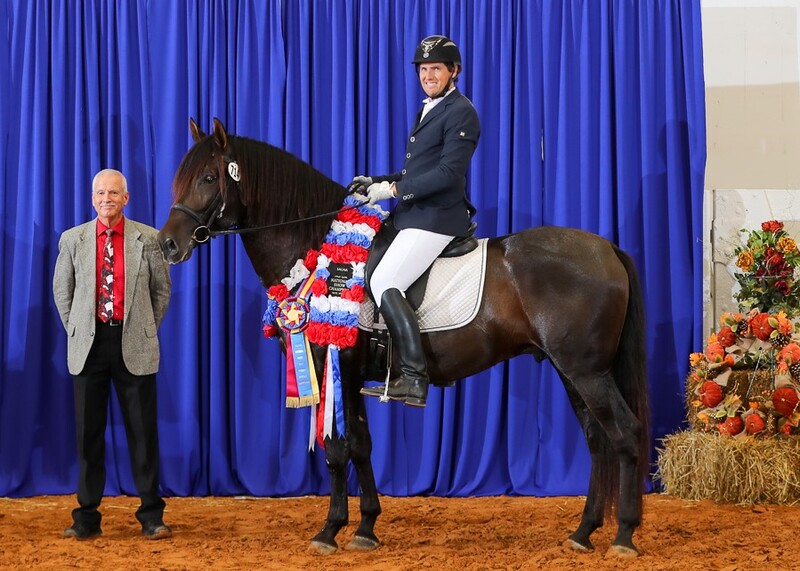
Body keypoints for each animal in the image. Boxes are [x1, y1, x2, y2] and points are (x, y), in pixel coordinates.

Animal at [156, 117, 648, 560]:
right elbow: (361, 446)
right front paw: (366, 528)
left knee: (624, 434)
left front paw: (329, 531)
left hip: (586, 372)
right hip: (573, 372)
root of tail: (607, 248)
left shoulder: (330, 363)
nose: (168, 246)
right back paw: (583, 533)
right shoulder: (351, 375)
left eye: (207, 177)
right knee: (597, 439)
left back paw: (624, 537)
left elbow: (336, 450)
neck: (313, 248)